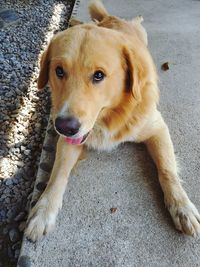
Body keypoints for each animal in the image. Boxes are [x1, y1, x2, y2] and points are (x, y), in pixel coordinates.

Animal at [24, 0, 198, 243]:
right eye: (58, 71)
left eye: (99, 75)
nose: (65, 127)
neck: (110, 115)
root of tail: (114, 19)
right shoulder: (68, 140)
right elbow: (57, 174)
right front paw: (43, 211)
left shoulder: (157, 128)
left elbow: (167, 170)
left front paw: (182, 206)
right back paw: (77, 20)